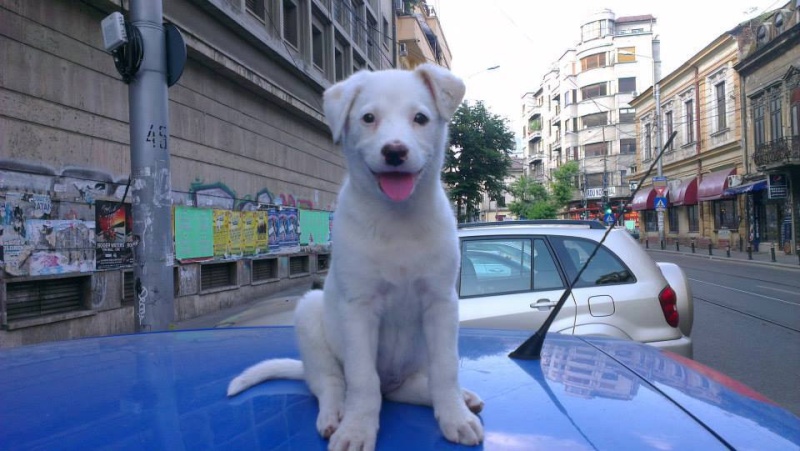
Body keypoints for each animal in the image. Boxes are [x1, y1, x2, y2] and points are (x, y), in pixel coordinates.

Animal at [228, 64, 484, 451]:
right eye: (368, 118)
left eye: (420, 118)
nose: (394, 151)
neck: (397, 219)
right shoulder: (359, 307)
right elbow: (363, 380)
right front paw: (356, 429)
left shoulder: (441, 302)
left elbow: (446, 368)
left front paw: (455, 416)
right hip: (309, 317)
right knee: (331, 383)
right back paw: (336, 414)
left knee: (415, 385)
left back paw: (459, 398)